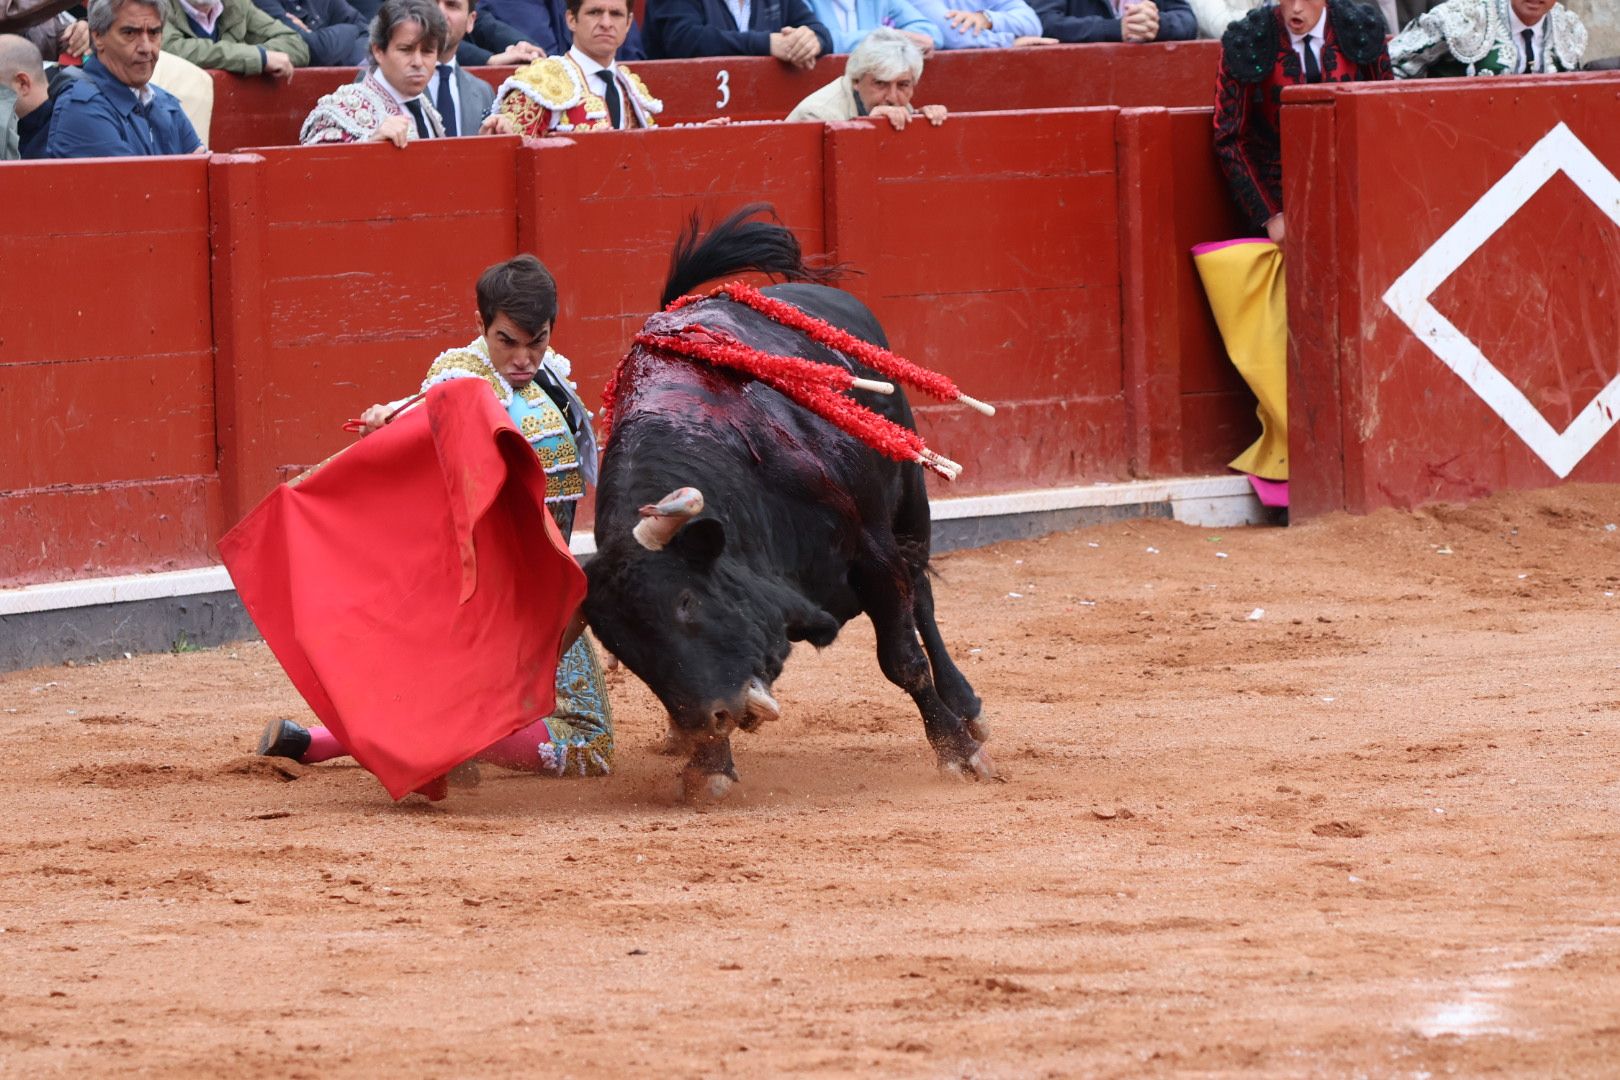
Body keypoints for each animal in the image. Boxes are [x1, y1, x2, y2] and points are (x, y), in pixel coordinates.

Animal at [583, 220, 984, 799]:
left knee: (924, 602)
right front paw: (709, 765)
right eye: (624, 646)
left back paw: (966, 707)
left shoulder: (873, 554)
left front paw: (957, 751)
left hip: (910, 503)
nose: (715, 716)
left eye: (685, 601)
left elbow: (903, 661)